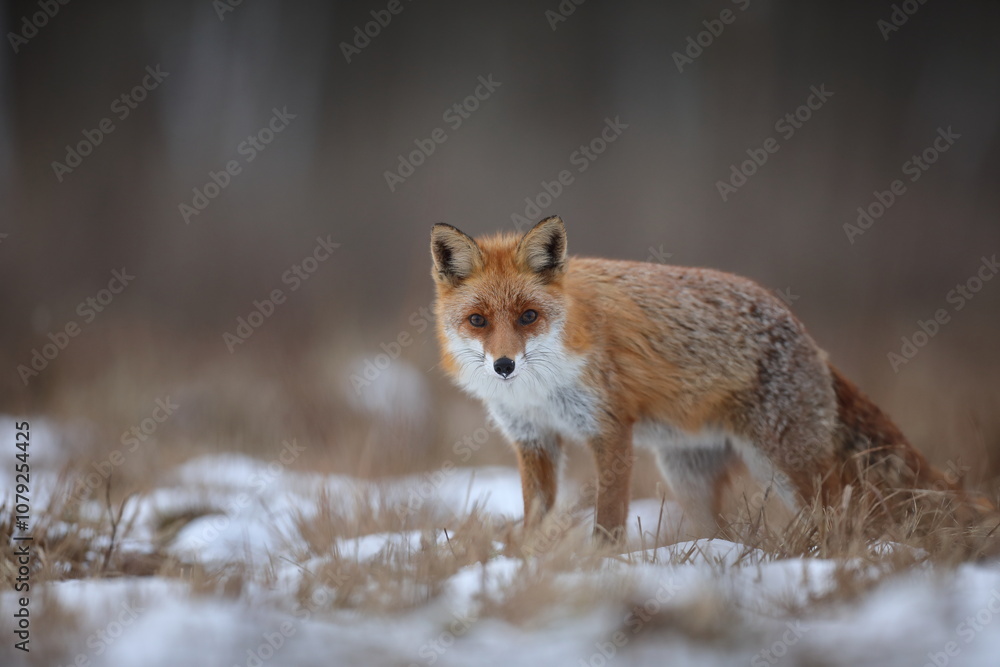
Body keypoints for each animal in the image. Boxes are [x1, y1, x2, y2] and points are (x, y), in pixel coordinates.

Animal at [430, 215, 993, 541]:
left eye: (528, 316)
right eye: (478, 320)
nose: (504, 365)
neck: (538, 391)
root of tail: (803, 331)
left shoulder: (610, 431)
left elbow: (608, 522)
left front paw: (600, 568)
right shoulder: (534, 440)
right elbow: (535, 521)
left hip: (787, 468)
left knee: (843, 519)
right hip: (689, 477)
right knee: (722, 534)